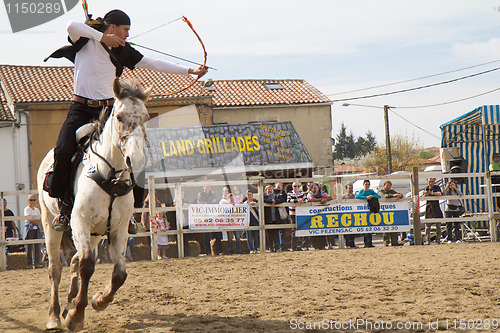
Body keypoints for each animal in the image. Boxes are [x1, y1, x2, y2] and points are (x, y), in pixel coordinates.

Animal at [37, 77, 150, 330]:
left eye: (146, 117)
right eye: (120, 117)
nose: (136, 160)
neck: (110, 176)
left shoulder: (118, 228)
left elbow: (119, 274)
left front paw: (98, 300)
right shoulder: (80, 222)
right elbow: (88, 265)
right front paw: (76, 316)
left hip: (97, 233)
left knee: (74, 261)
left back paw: (69, 303)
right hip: (50, 222)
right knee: (55, 269)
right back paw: (54, 316)